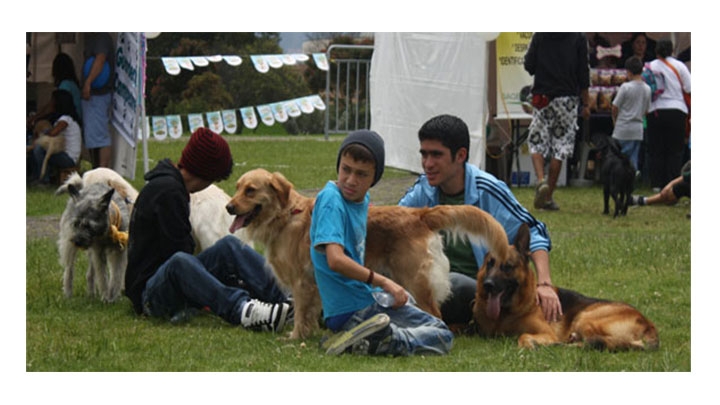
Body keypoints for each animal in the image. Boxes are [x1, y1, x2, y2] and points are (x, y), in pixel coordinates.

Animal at [56, 166, 138, 302]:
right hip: (69, 245)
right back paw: (68, 294)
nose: (77, 241)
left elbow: (116, 275)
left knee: (90, 274)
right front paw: (107, 297)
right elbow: (104, 276)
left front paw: (113, 295)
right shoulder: (101, 252)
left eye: (88, 226)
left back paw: (91, 295)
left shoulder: (119, 252)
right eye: (76, 224)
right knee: (69, 269)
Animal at [472, 223, 660, 348]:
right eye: (490, 264)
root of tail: (648, 323)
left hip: (585, 318)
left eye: (507, 266)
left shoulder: (547, 333)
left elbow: (524, 335)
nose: (488, 285)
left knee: (592, 343)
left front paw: (529, 345)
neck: (506, 314)